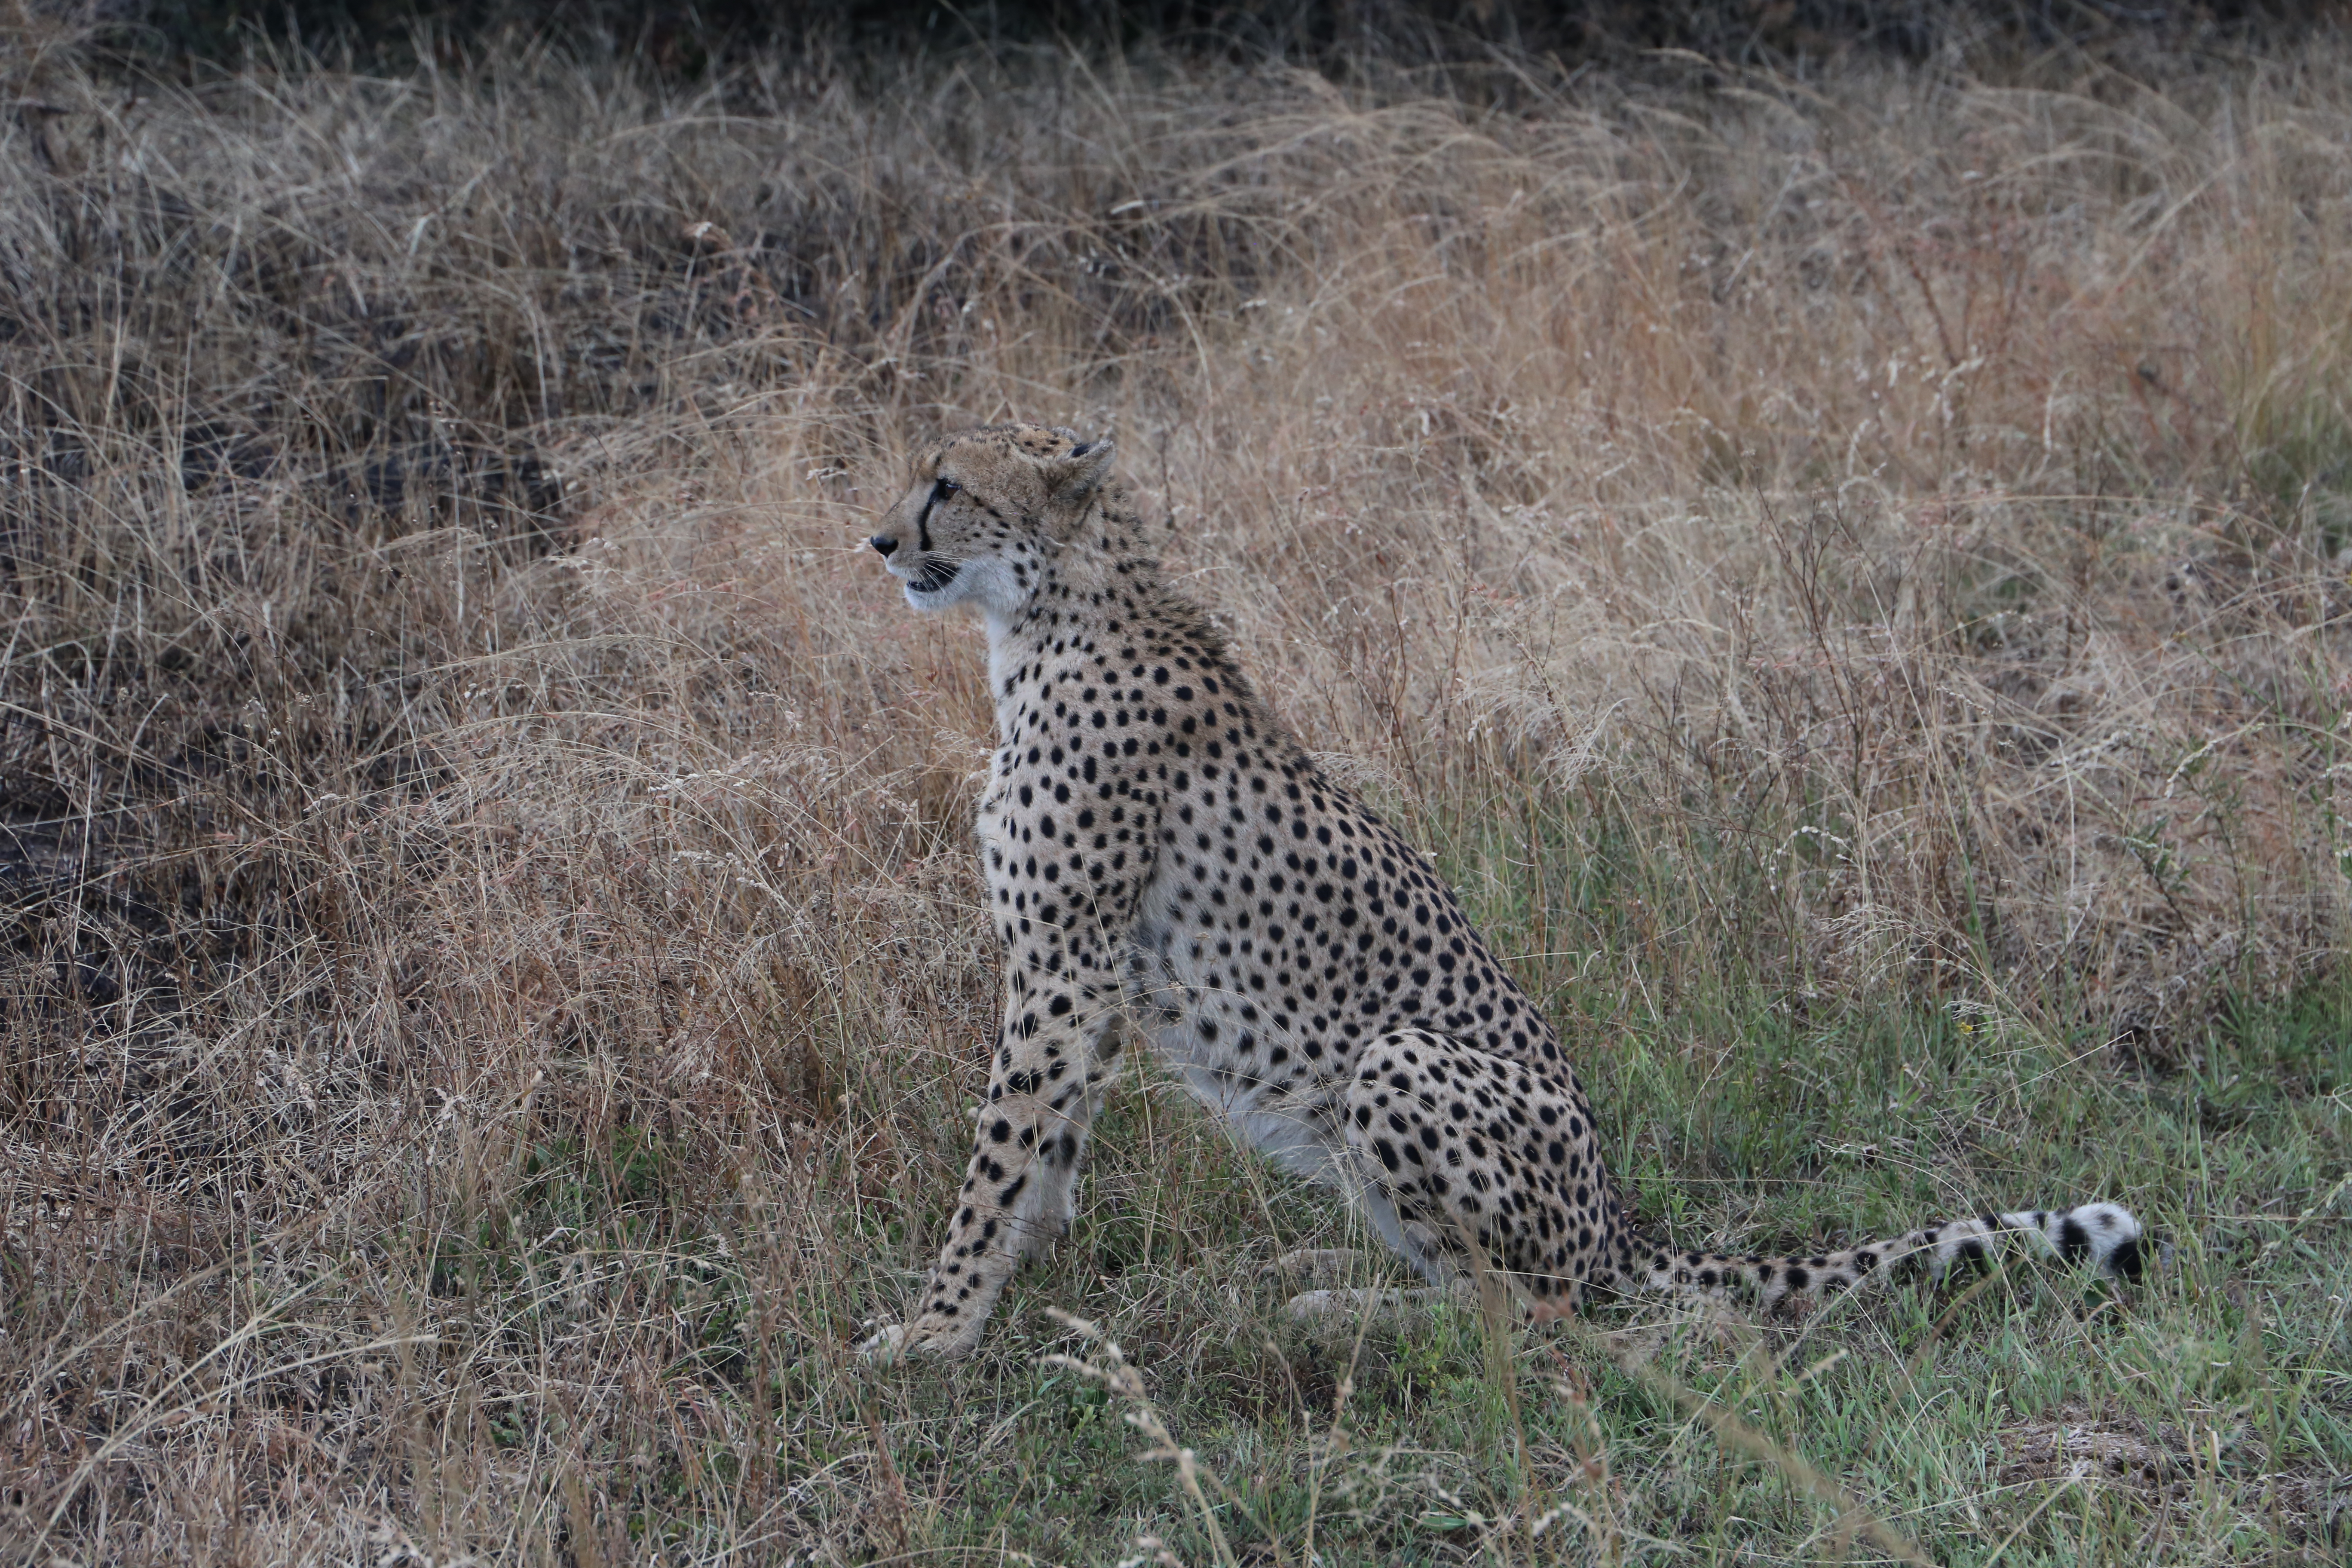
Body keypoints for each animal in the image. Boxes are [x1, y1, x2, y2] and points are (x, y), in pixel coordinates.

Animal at [857, 421, 2144, 1359]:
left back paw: (1340, 1311)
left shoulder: (1064, 963)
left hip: (1399, 1061)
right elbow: (1050, 1145)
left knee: (1534, 1314)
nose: (874, 543)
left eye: (946, 484)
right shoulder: (1090, 972)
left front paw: (934, 1329)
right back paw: (1329, 1269)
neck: (1044, 620)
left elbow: (1000, 1154)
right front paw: (1026, 1277)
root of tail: (1621, 1221)